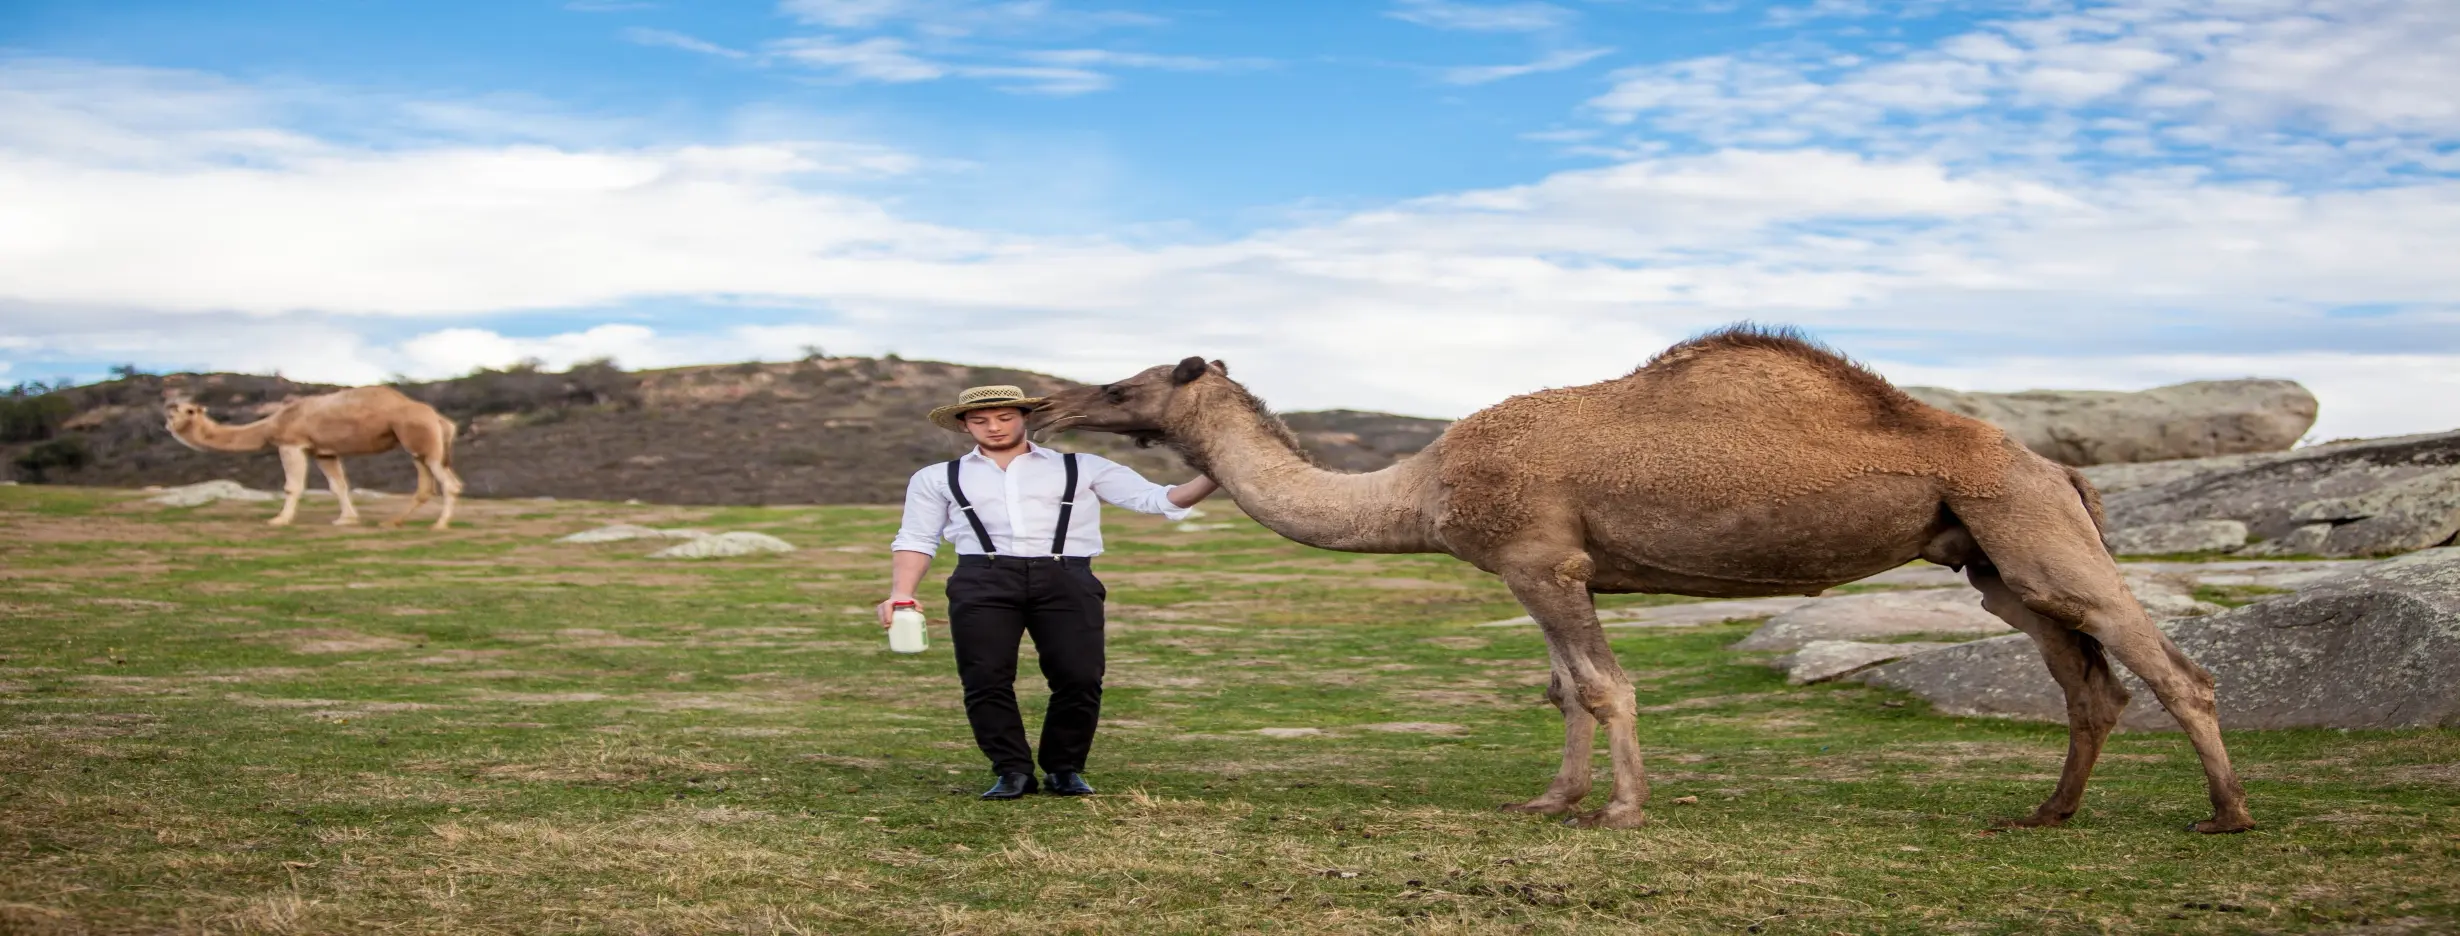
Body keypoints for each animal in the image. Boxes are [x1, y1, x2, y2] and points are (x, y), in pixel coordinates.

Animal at [163, 386, 464, 530]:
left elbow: (292, 486)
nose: (169, 419)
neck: (272, 423)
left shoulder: (291, 443)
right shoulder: (324, 451)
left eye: (188, 410)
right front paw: (347, 519)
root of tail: (441, 419)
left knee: (450, 484)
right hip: (418, 447)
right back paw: (392, 522)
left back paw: (438, 525)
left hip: (423, 441)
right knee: (426, 486)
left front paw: (279, 520)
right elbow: (338, 486)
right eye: (172, 409)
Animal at [1034, 326, 2252, 833]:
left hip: (2036, 532)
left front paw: (1618, 811)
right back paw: (2044, 814)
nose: (1045, 404)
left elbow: (1605, 685)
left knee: (2173, 670)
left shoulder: (1542, 558)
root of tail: (2060, 466)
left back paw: (2226, 817)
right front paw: (1551, 799)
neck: (1419, 488)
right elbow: (1563, 689)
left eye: (1126, 383)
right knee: (2087, 683)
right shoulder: (1539, 571)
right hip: (1991, 559)